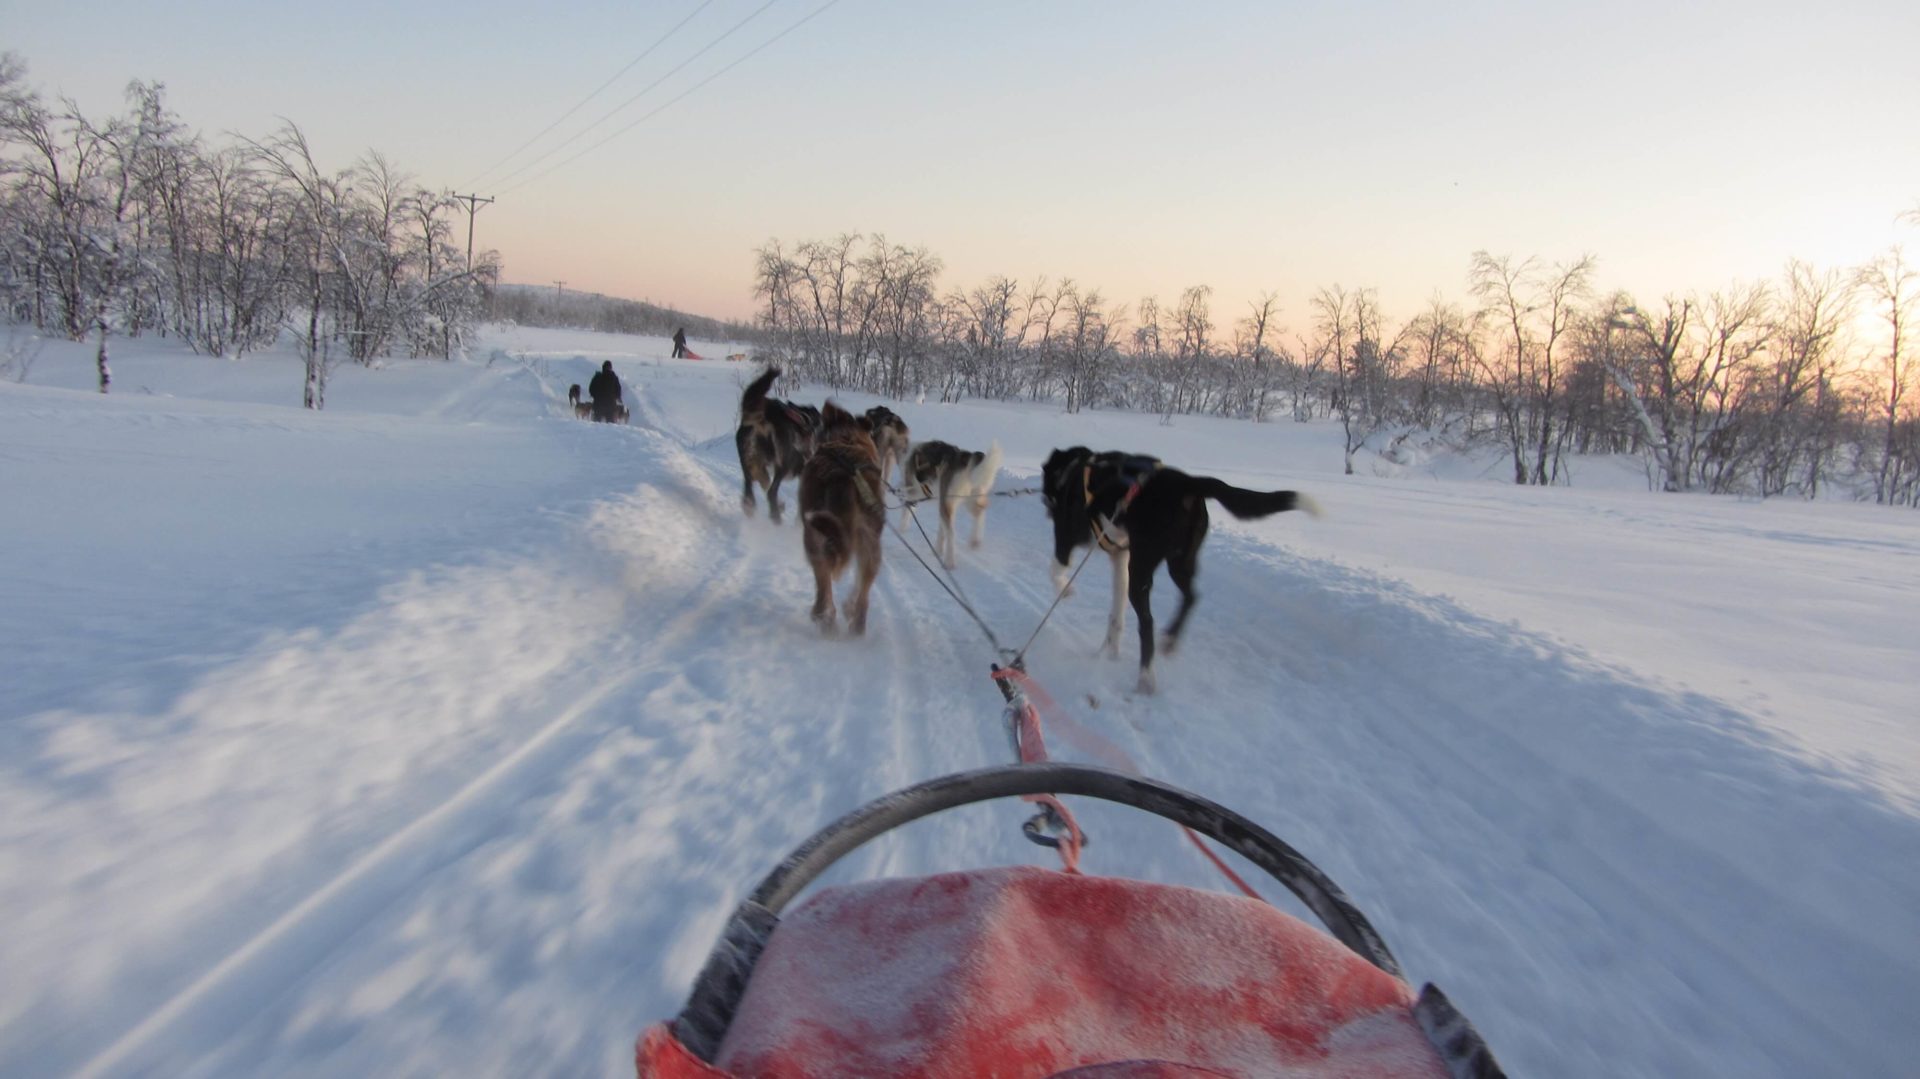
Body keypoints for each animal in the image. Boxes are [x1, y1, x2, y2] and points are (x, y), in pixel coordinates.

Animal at [794, 399, 883, 633]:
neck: (847, 439)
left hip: (816, 537)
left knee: (823, 583)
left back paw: (822, 616)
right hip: (869, 542)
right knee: (864, 587)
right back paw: (856, 623)